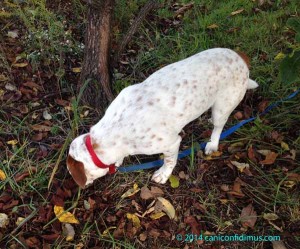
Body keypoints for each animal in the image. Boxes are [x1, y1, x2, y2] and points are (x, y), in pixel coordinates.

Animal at [67, 48, 258, 189]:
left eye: (70, 173)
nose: (78, 188)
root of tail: (240, 57)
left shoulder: (171, 143)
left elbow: (169, 160)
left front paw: (163, 174)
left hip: (222, 107)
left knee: (219, 127)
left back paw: (212, 143)